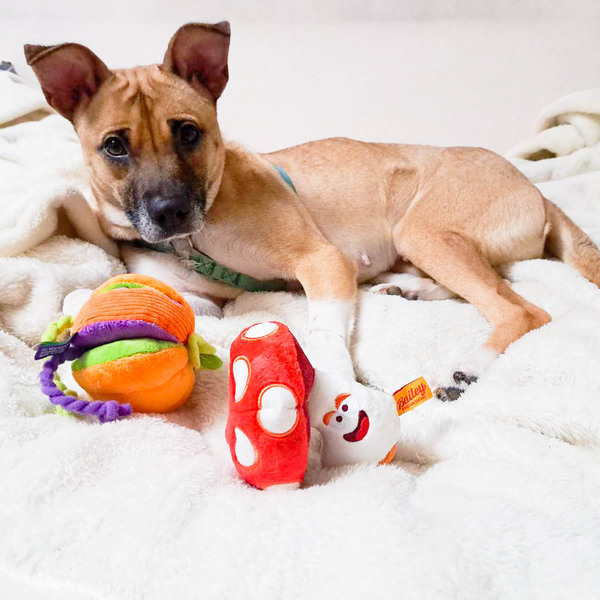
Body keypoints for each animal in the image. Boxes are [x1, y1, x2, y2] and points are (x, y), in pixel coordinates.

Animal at [25, 21, 600, 401]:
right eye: (114, 146)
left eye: (188, 133)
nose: (171, 215)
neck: (198, 239)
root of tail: (537, 191)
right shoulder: (205, 304)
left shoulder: (323, 262)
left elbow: (324, 330)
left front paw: (338, 382)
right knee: (493, 290)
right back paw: (409, 289)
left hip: (423, 231)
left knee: (521, 309)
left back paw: (465, 368)